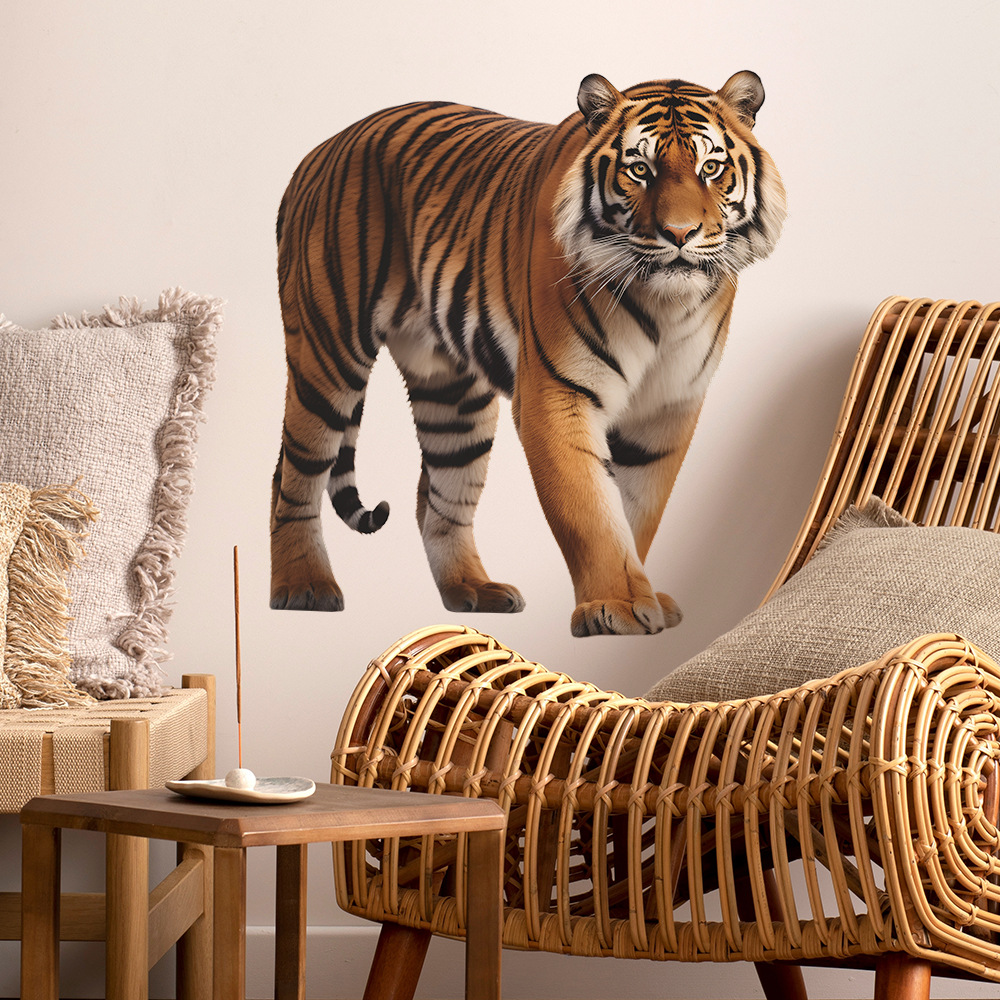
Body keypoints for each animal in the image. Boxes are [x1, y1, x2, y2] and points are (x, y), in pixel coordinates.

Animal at [270, 71, 786, 636]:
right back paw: (303, 587)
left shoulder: (669, 408)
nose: (679, 233)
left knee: (437, 496)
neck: (665, 305)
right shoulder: (557, 394)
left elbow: (638, 510)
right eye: (640, 170)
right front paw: (617, 605)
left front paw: (645, 597)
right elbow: (590, 509)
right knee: (292, 474)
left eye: (710, 168)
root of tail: (318, 151)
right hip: (328, 353)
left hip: (453, 396)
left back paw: (472, 590)